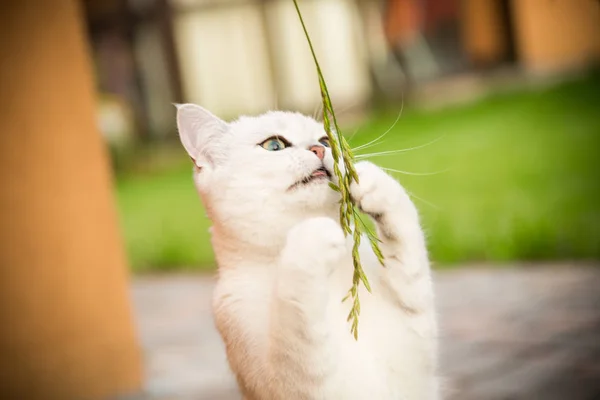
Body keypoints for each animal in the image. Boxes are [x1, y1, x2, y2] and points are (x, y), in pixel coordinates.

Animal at [176, 104, 438, 398]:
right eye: (274, 145)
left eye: (325, 140)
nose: (319, 149)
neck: (332, 278)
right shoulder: (294, 384)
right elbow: (295, 323)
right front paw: (314, 233)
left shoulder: (415, 334)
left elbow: (411, 266)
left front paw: (370, 180)